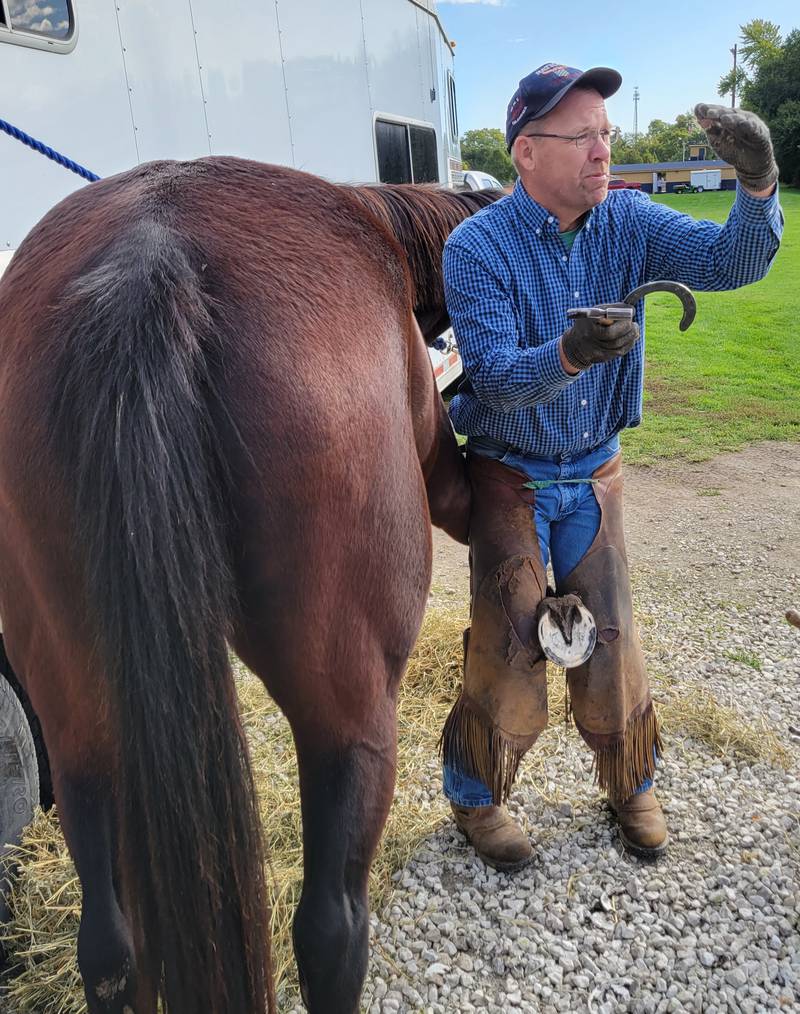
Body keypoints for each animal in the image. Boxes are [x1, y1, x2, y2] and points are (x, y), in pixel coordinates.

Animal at [0, 160, 498, 1014]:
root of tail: (148, 258)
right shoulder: (445, 483)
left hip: (78, 718)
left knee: (108, 945)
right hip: (350, 719)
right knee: (329, 929)